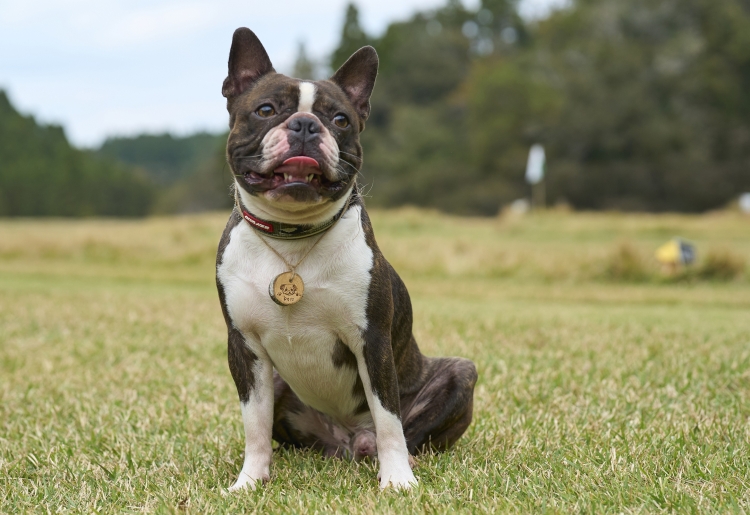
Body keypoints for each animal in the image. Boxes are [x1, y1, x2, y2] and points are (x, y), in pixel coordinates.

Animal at [214, 28, 478, 492]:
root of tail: (347, 441)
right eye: (265, 111)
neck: (292, 239)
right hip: (281, 384)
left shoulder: (371, 341)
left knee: (403, 430)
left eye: (340, 120)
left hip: (460, 374)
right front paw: (249, 481)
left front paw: (398, 480)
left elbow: (389, 420)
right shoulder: (245, 349)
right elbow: (254, 425)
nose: (305, 124)